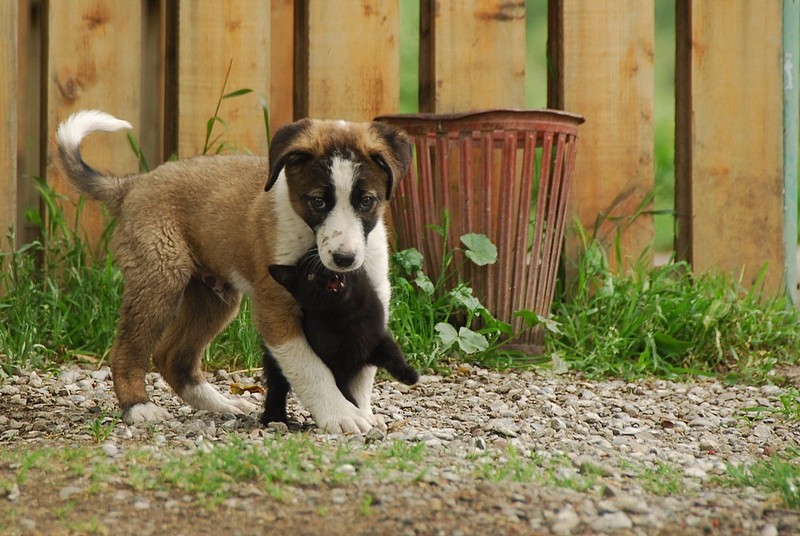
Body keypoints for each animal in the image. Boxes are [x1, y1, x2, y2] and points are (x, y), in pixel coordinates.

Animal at [261, 249, 418, 426]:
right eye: (310, 276)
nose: (324, 272)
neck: (347, 314)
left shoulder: (375, 338)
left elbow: (393, 353)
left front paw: (409, 375)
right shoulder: (334, 364)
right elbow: (342, 391)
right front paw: (353, 413)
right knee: (277, 384)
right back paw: (274, 417)